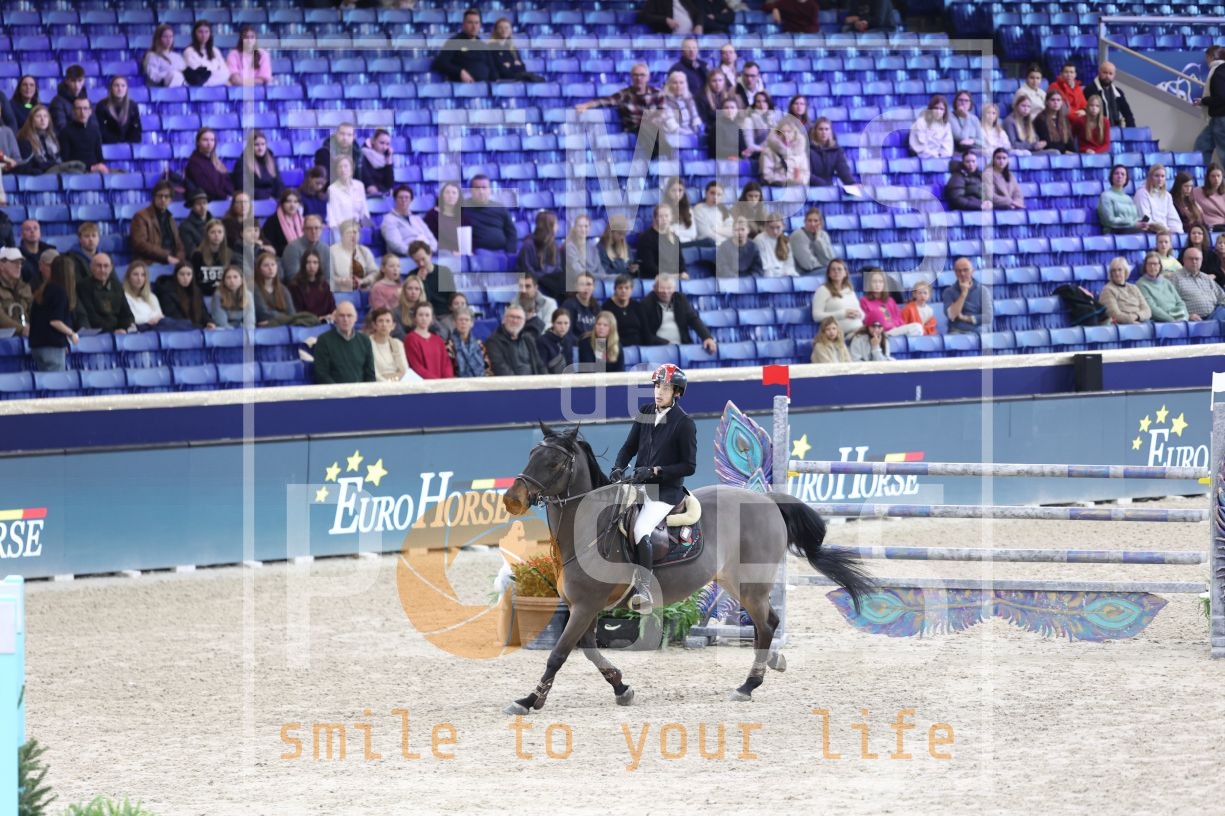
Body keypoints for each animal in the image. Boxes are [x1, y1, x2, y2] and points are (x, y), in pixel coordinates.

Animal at [500, 422, 873, 714]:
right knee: (769, 622)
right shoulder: (583, 607)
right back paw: (771, 662)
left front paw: (528, 700)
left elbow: (558, 655)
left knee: (766, 625)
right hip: (737, 583)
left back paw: (748, 686)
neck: (587, 530)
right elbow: (589, 651)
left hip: (750, 584)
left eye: (553, 462)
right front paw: (621, 687)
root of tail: (766, 500)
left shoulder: (585, 606)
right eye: (531, 453)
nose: (511, 499)